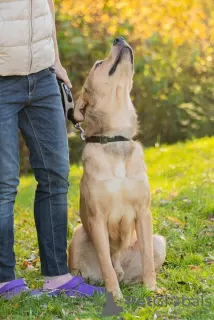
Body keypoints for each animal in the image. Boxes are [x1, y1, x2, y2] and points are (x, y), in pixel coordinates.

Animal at [68, 37, 166, 300]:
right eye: (98, 64)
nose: (119, 38)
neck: (115, 138)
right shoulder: (97, 219)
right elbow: (106, 263)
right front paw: (115, 296)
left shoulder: (144, 213)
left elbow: (147, 260)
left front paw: (151, 288)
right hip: (78, 234)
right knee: (96, 270)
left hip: (159, 241)